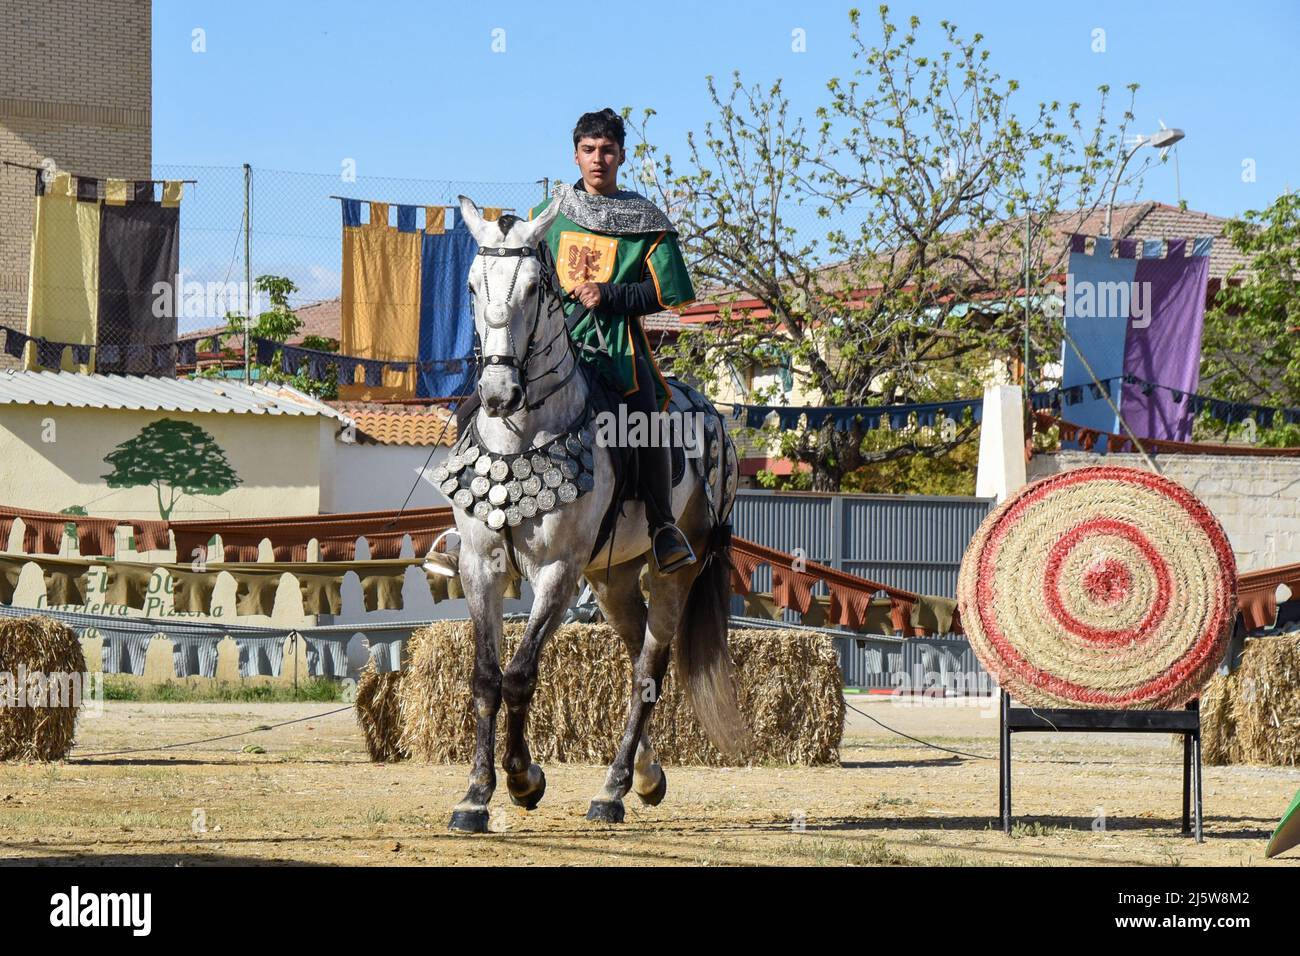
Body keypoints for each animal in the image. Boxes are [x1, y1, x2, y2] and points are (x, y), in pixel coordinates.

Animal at [436, 195, 748, 832]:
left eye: (535, 287)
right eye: (474, 285)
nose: (499, 393)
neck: (522, 434)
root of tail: (715, 419)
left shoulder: (559, 570)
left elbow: (521, 674)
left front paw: (523, 779)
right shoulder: (481, 565)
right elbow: (485, 678)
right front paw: (475, 795)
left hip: (678, 568)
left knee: (649, 670)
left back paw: (613, 788)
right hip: (612, 579)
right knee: (633, 655)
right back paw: (646, 778)